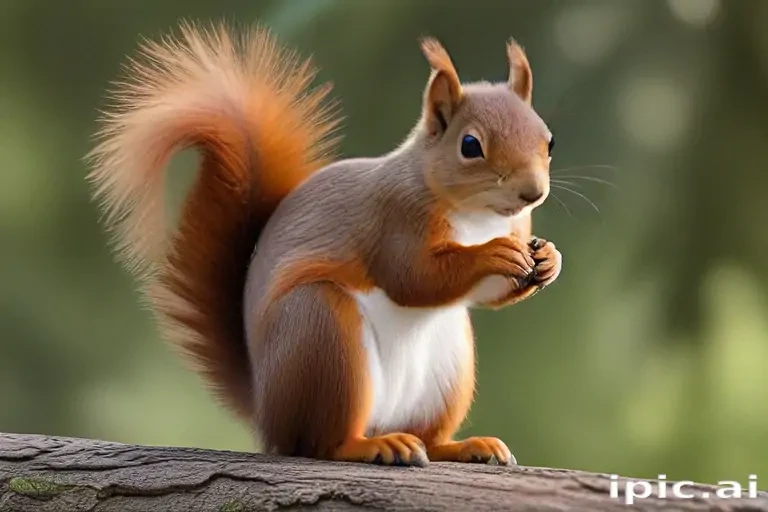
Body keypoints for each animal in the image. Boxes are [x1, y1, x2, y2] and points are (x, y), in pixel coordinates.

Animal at [86, 21, 562, 468]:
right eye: (470, 145)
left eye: (549, 140)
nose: (532, 193)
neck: (479, 217)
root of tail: (267, 410)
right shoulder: (395, 220)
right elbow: (412, 277)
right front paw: (493, 254)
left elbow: (488, 293)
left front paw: (548, 259)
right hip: (322, 334)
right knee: (320, 443)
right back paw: (373, 446)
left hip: (447, 367)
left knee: (426, 437)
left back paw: (464, 446)